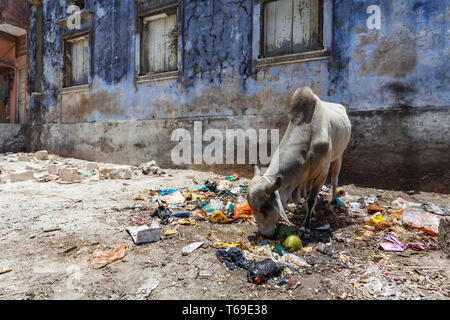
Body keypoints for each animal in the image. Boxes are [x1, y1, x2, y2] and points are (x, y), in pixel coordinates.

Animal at [246, 86, 352, 239]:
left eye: (263, 208)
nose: (264, 234)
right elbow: (308, 197)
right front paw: (308, 212)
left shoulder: (322, 174)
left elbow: (311, 199)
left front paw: (305, 227)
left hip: (339, 156)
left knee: (334, 179)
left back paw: (333, 200)